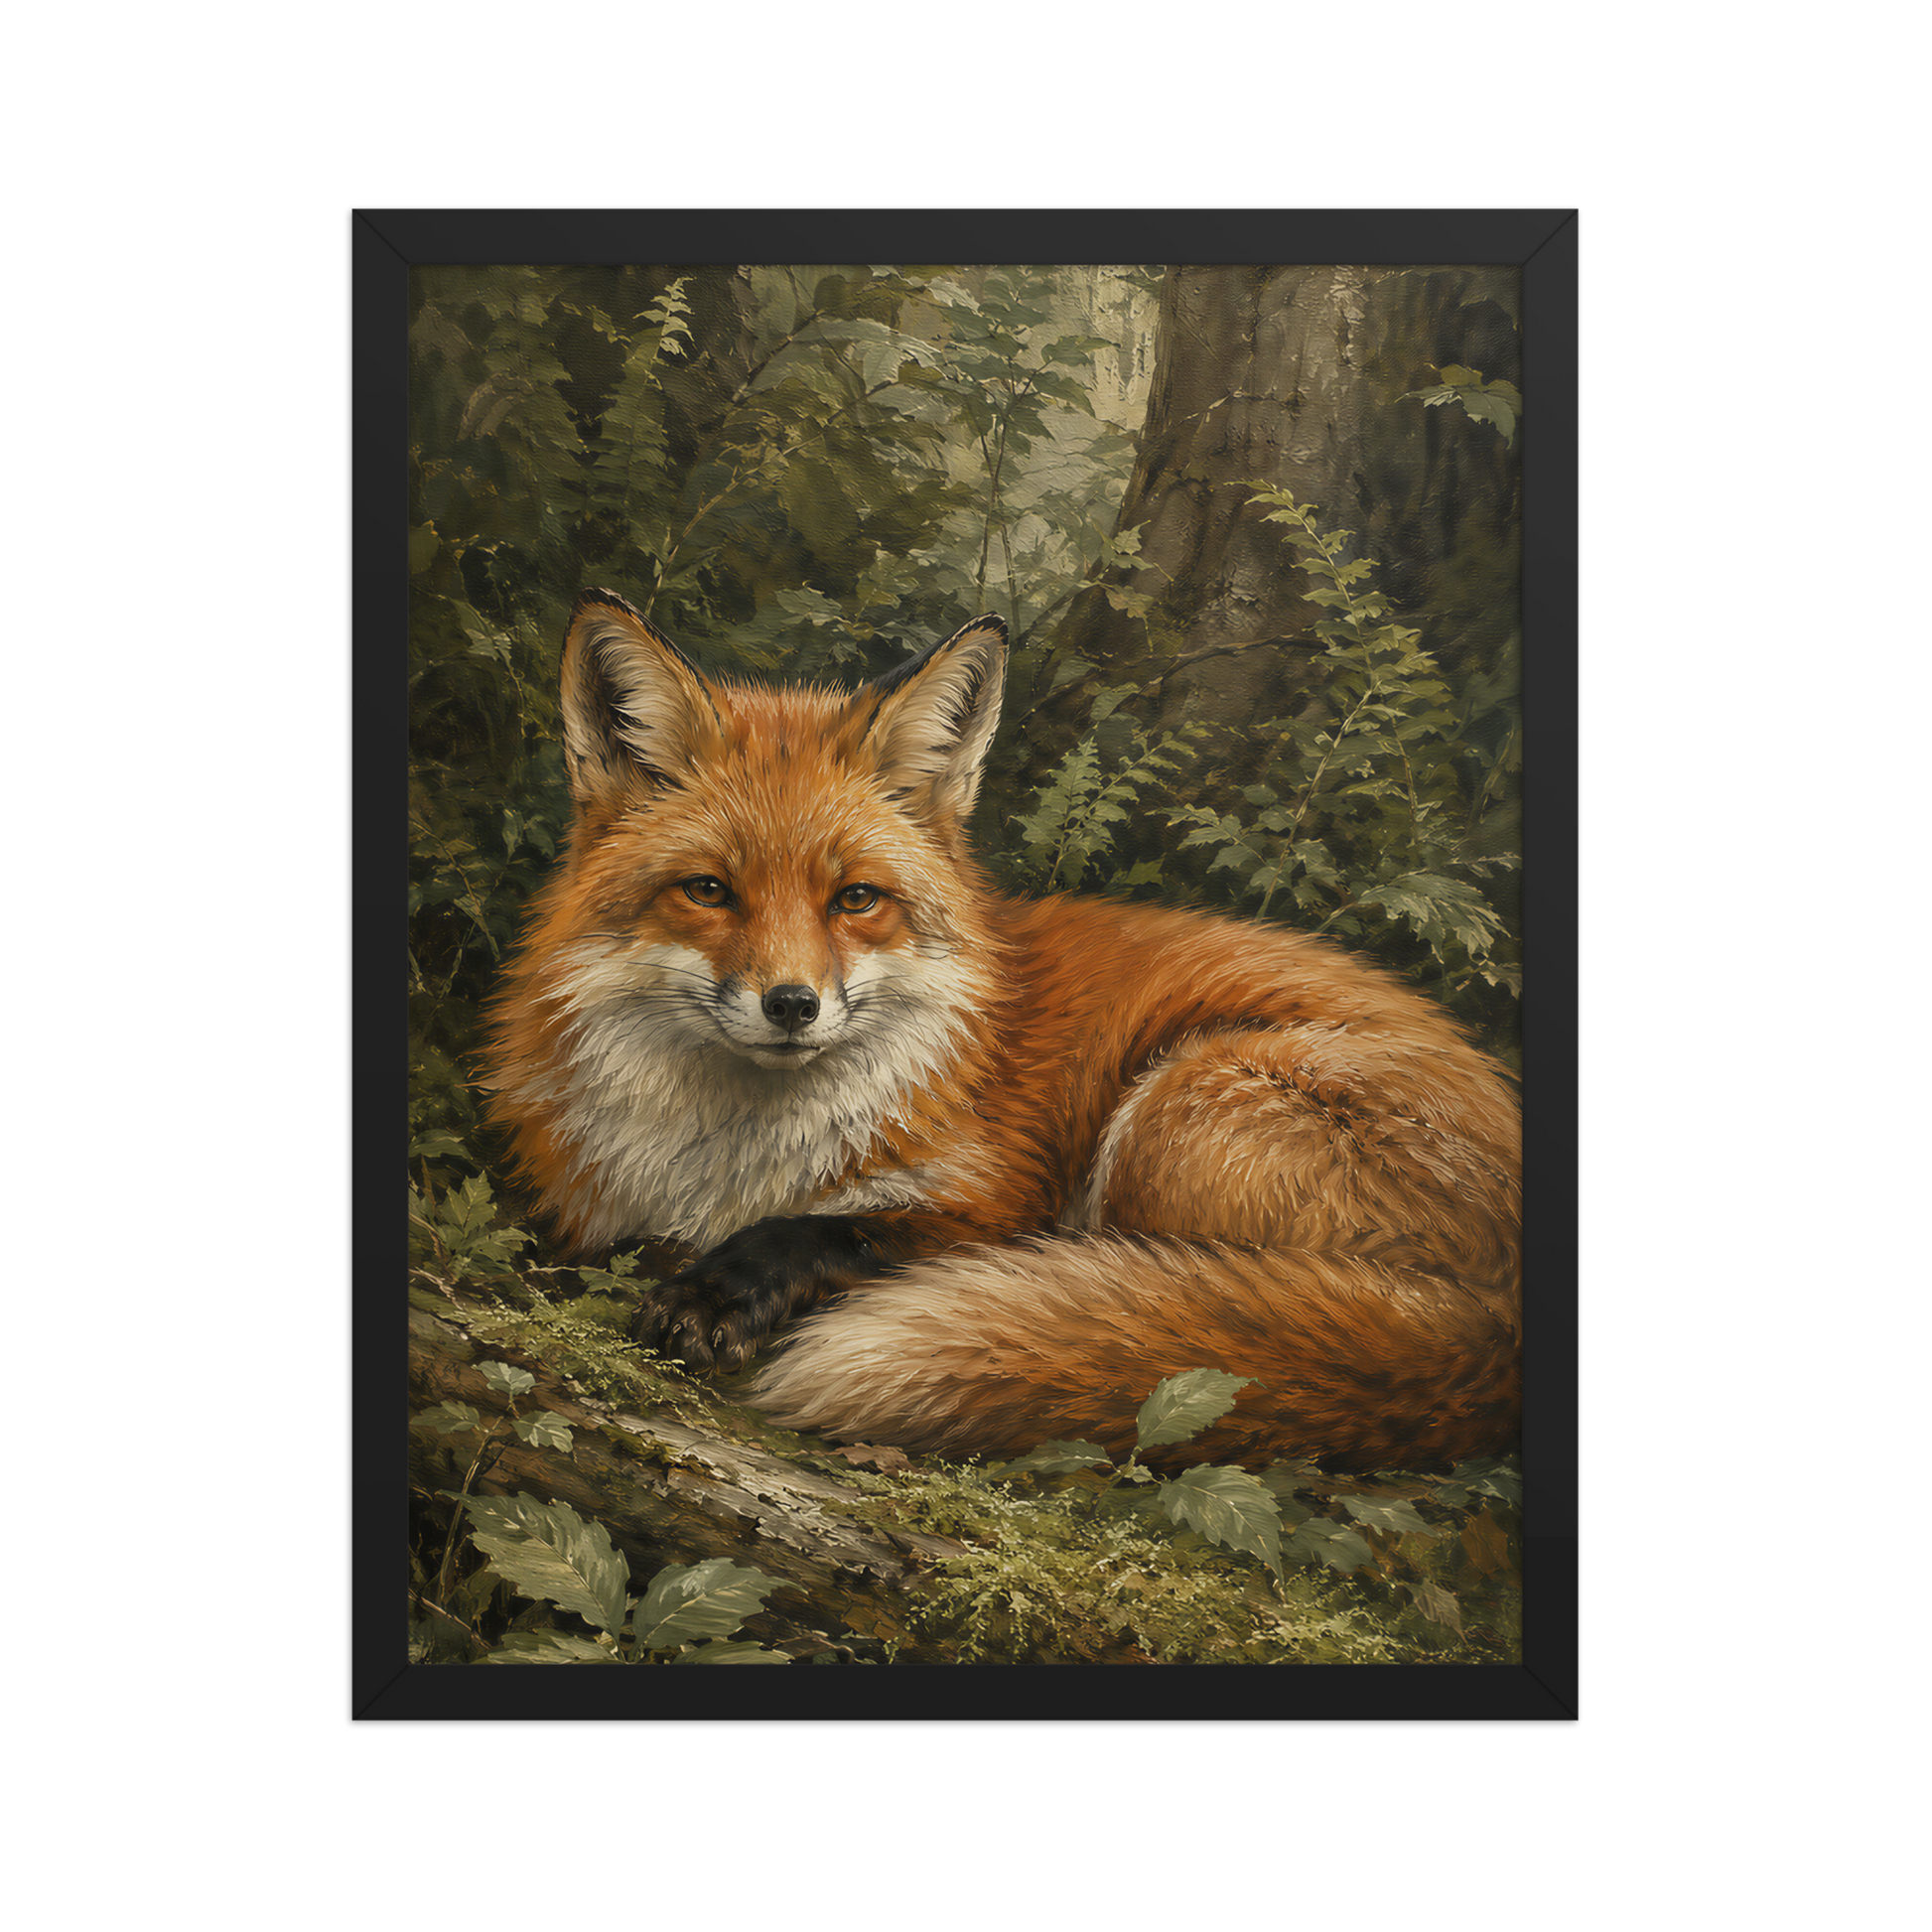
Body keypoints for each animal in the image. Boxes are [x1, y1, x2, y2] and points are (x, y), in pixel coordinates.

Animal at [482, 588, 1521, 1474]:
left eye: (856, 900)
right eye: (708, 891)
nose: (792, 1004)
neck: (728, 1160)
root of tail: (1501, 1331)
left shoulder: (995, 1207)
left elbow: (839, 1233)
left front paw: (717, 1291)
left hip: (1175, 1110)